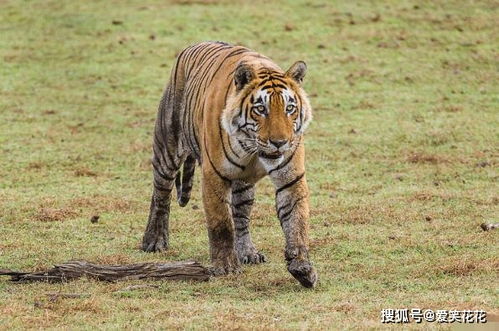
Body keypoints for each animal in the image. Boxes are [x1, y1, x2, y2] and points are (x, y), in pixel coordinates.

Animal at [143, 40, 318, 288]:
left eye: (289, 109)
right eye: (261, 109)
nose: (279, 142)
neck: (252, 149)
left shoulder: (291, 178)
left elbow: (297, 222)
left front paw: (303, 268)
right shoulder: (214, 175)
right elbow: (221, 224)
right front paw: (226, 267)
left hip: (244, 184)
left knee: (241, 216)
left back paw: (247, 252)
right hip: (167, 146)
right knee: (160, 194)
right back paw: (154, 240)